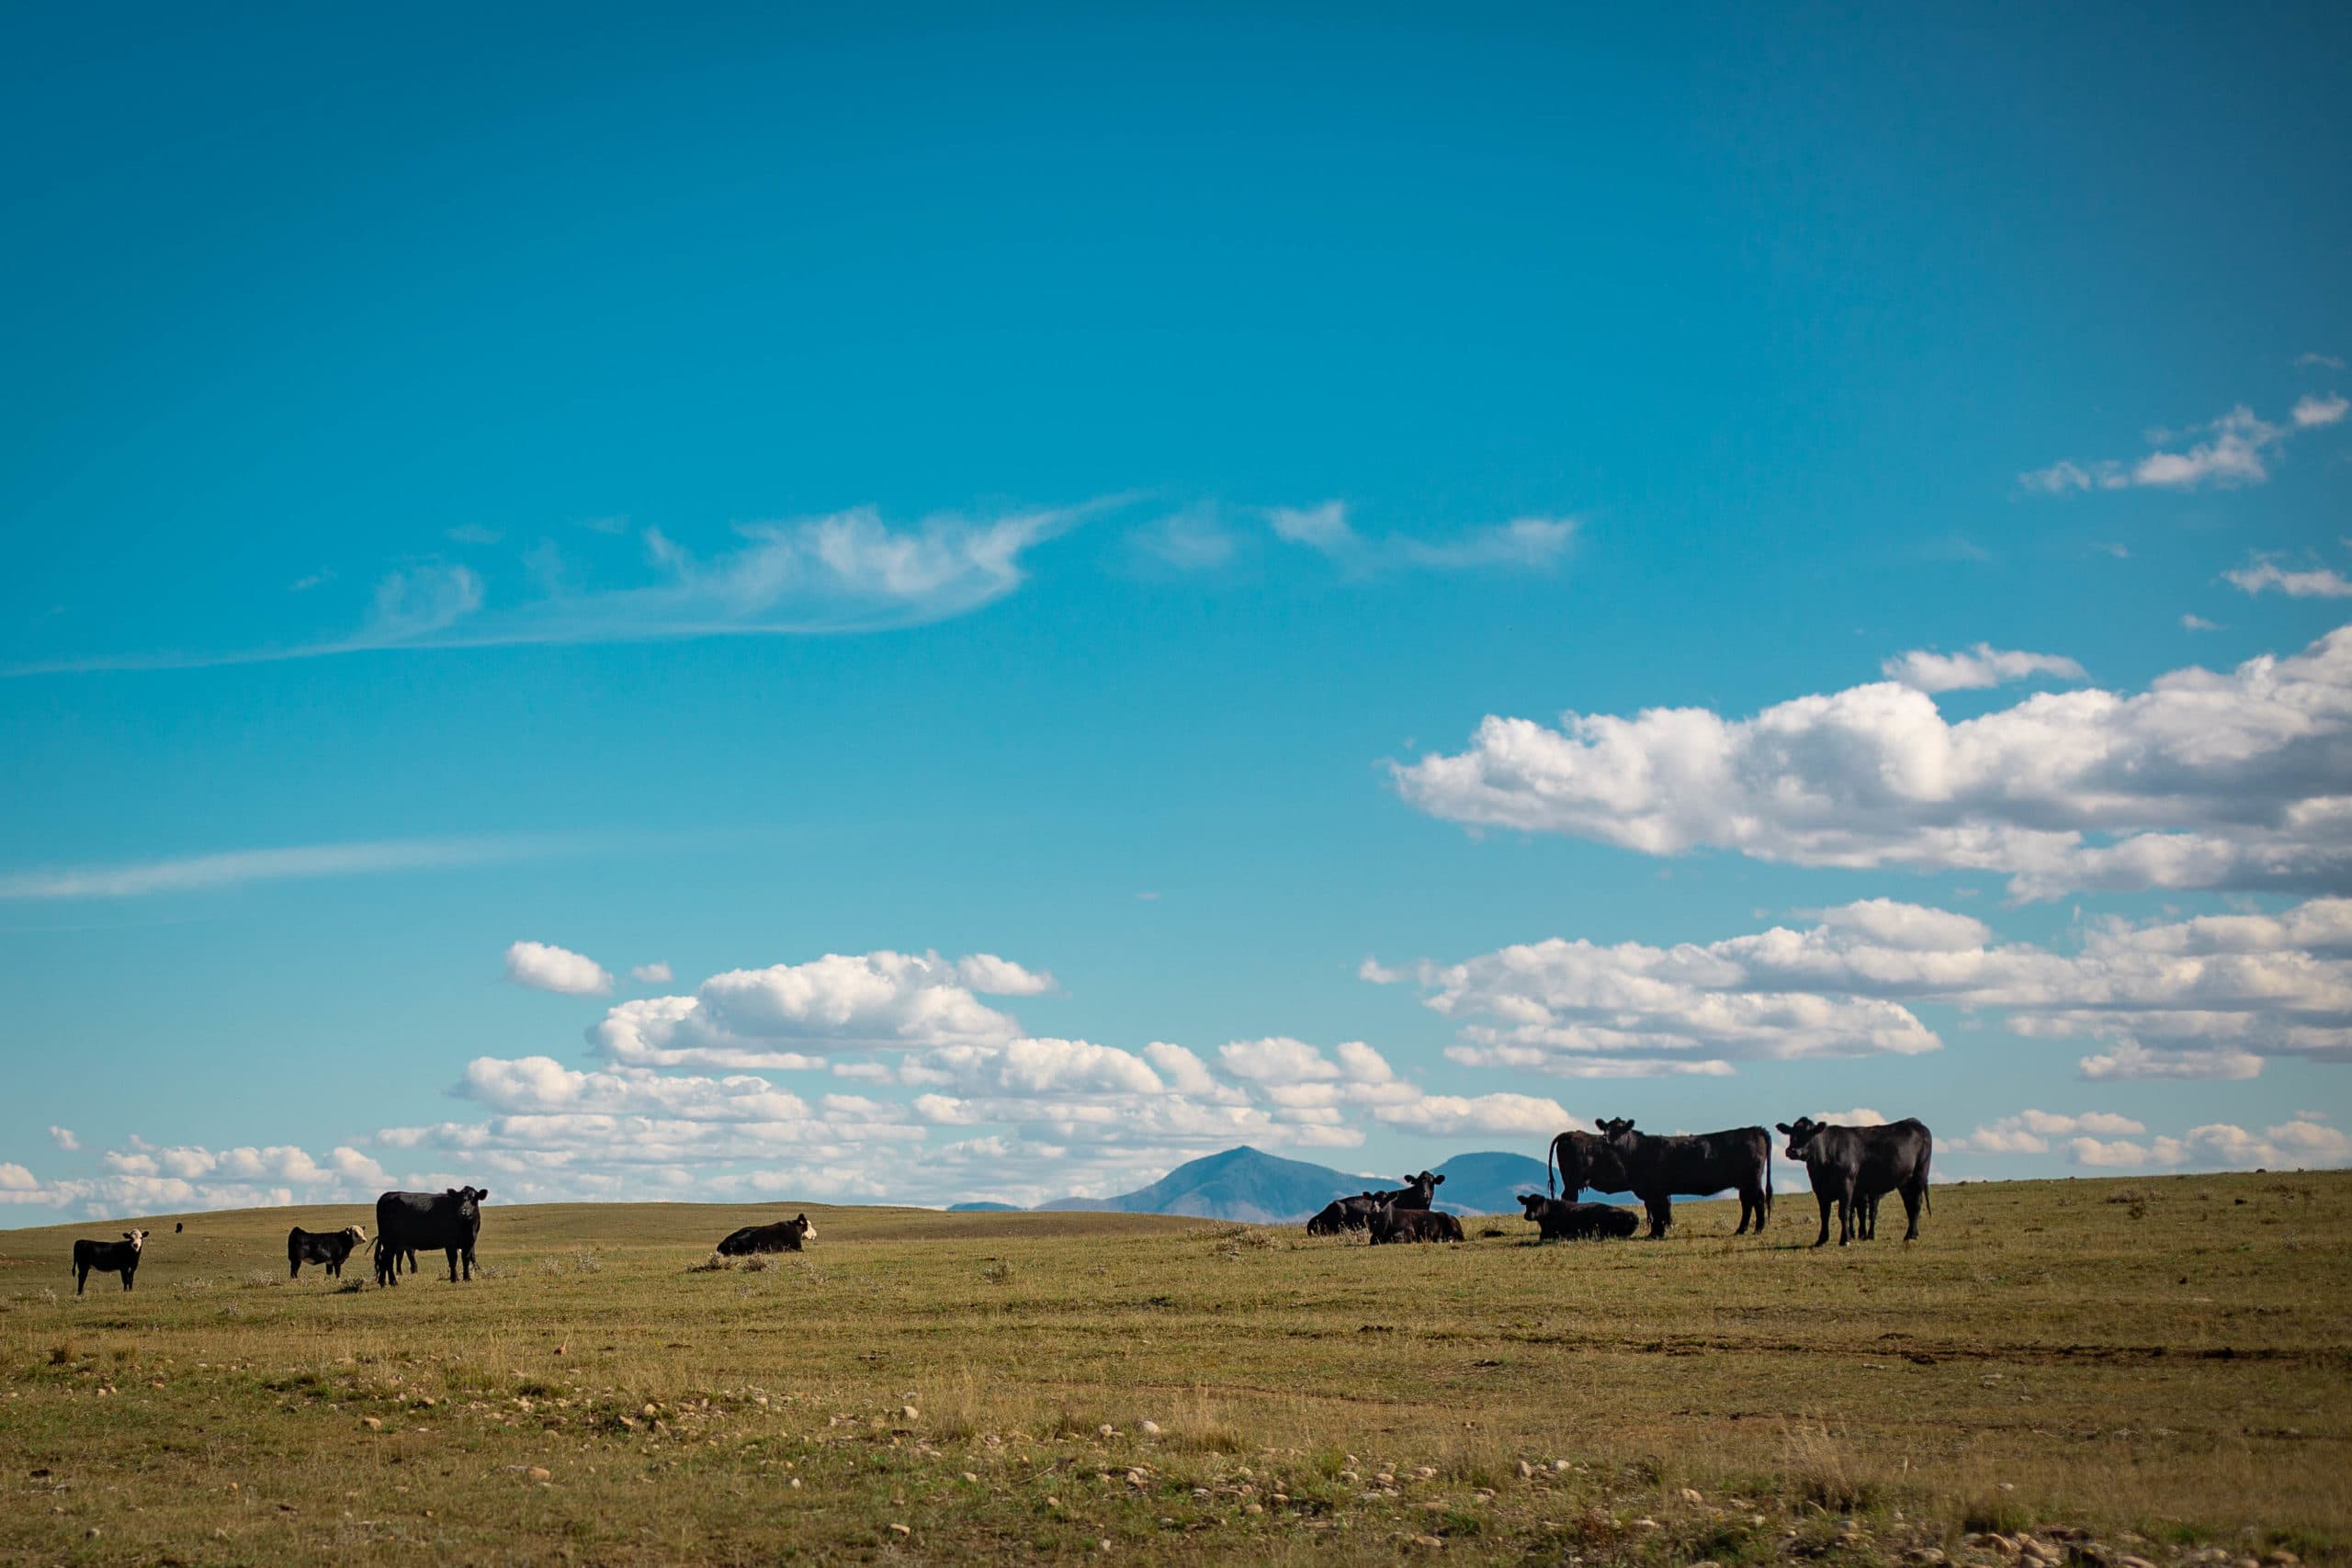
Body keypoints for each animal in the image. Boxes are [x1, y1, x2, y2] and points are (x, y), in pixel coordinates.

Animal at [1594, 1117, 1773, 1238]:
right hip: (1745, 1183)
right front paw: (1655, 1233)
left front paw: (1656, 1234)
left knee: (1757, 1200)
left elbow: (1659, 1211)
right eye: (1606, 1128)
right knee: (1747, 1203)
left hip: (1752, 1180)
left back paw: (1758, 1229)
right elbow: (1658, 1211)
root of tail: (1755, 1129)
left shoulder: (1656, 1191)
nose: (1605, 1139)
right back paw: (1741, 1230)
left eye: (1621, 1129)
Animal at [1778, 1117, 1933, 1247]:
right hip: (1904, 1182)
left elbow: (1844, 1213)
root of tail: (1916, 1124)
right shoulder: (1820, 1190)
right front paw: (1821, 1239)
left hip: (1919, 1175)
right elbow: (1824, 1215)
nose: (1792, 1151)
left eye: (1809, 1133)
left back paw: (1909, 1235)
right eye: (1791, 1133)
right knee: (1909, 1206)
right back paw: (1912, 1234)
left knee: (1917, 1205)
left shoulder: (1847, 1186)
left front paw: (1845, 1239)